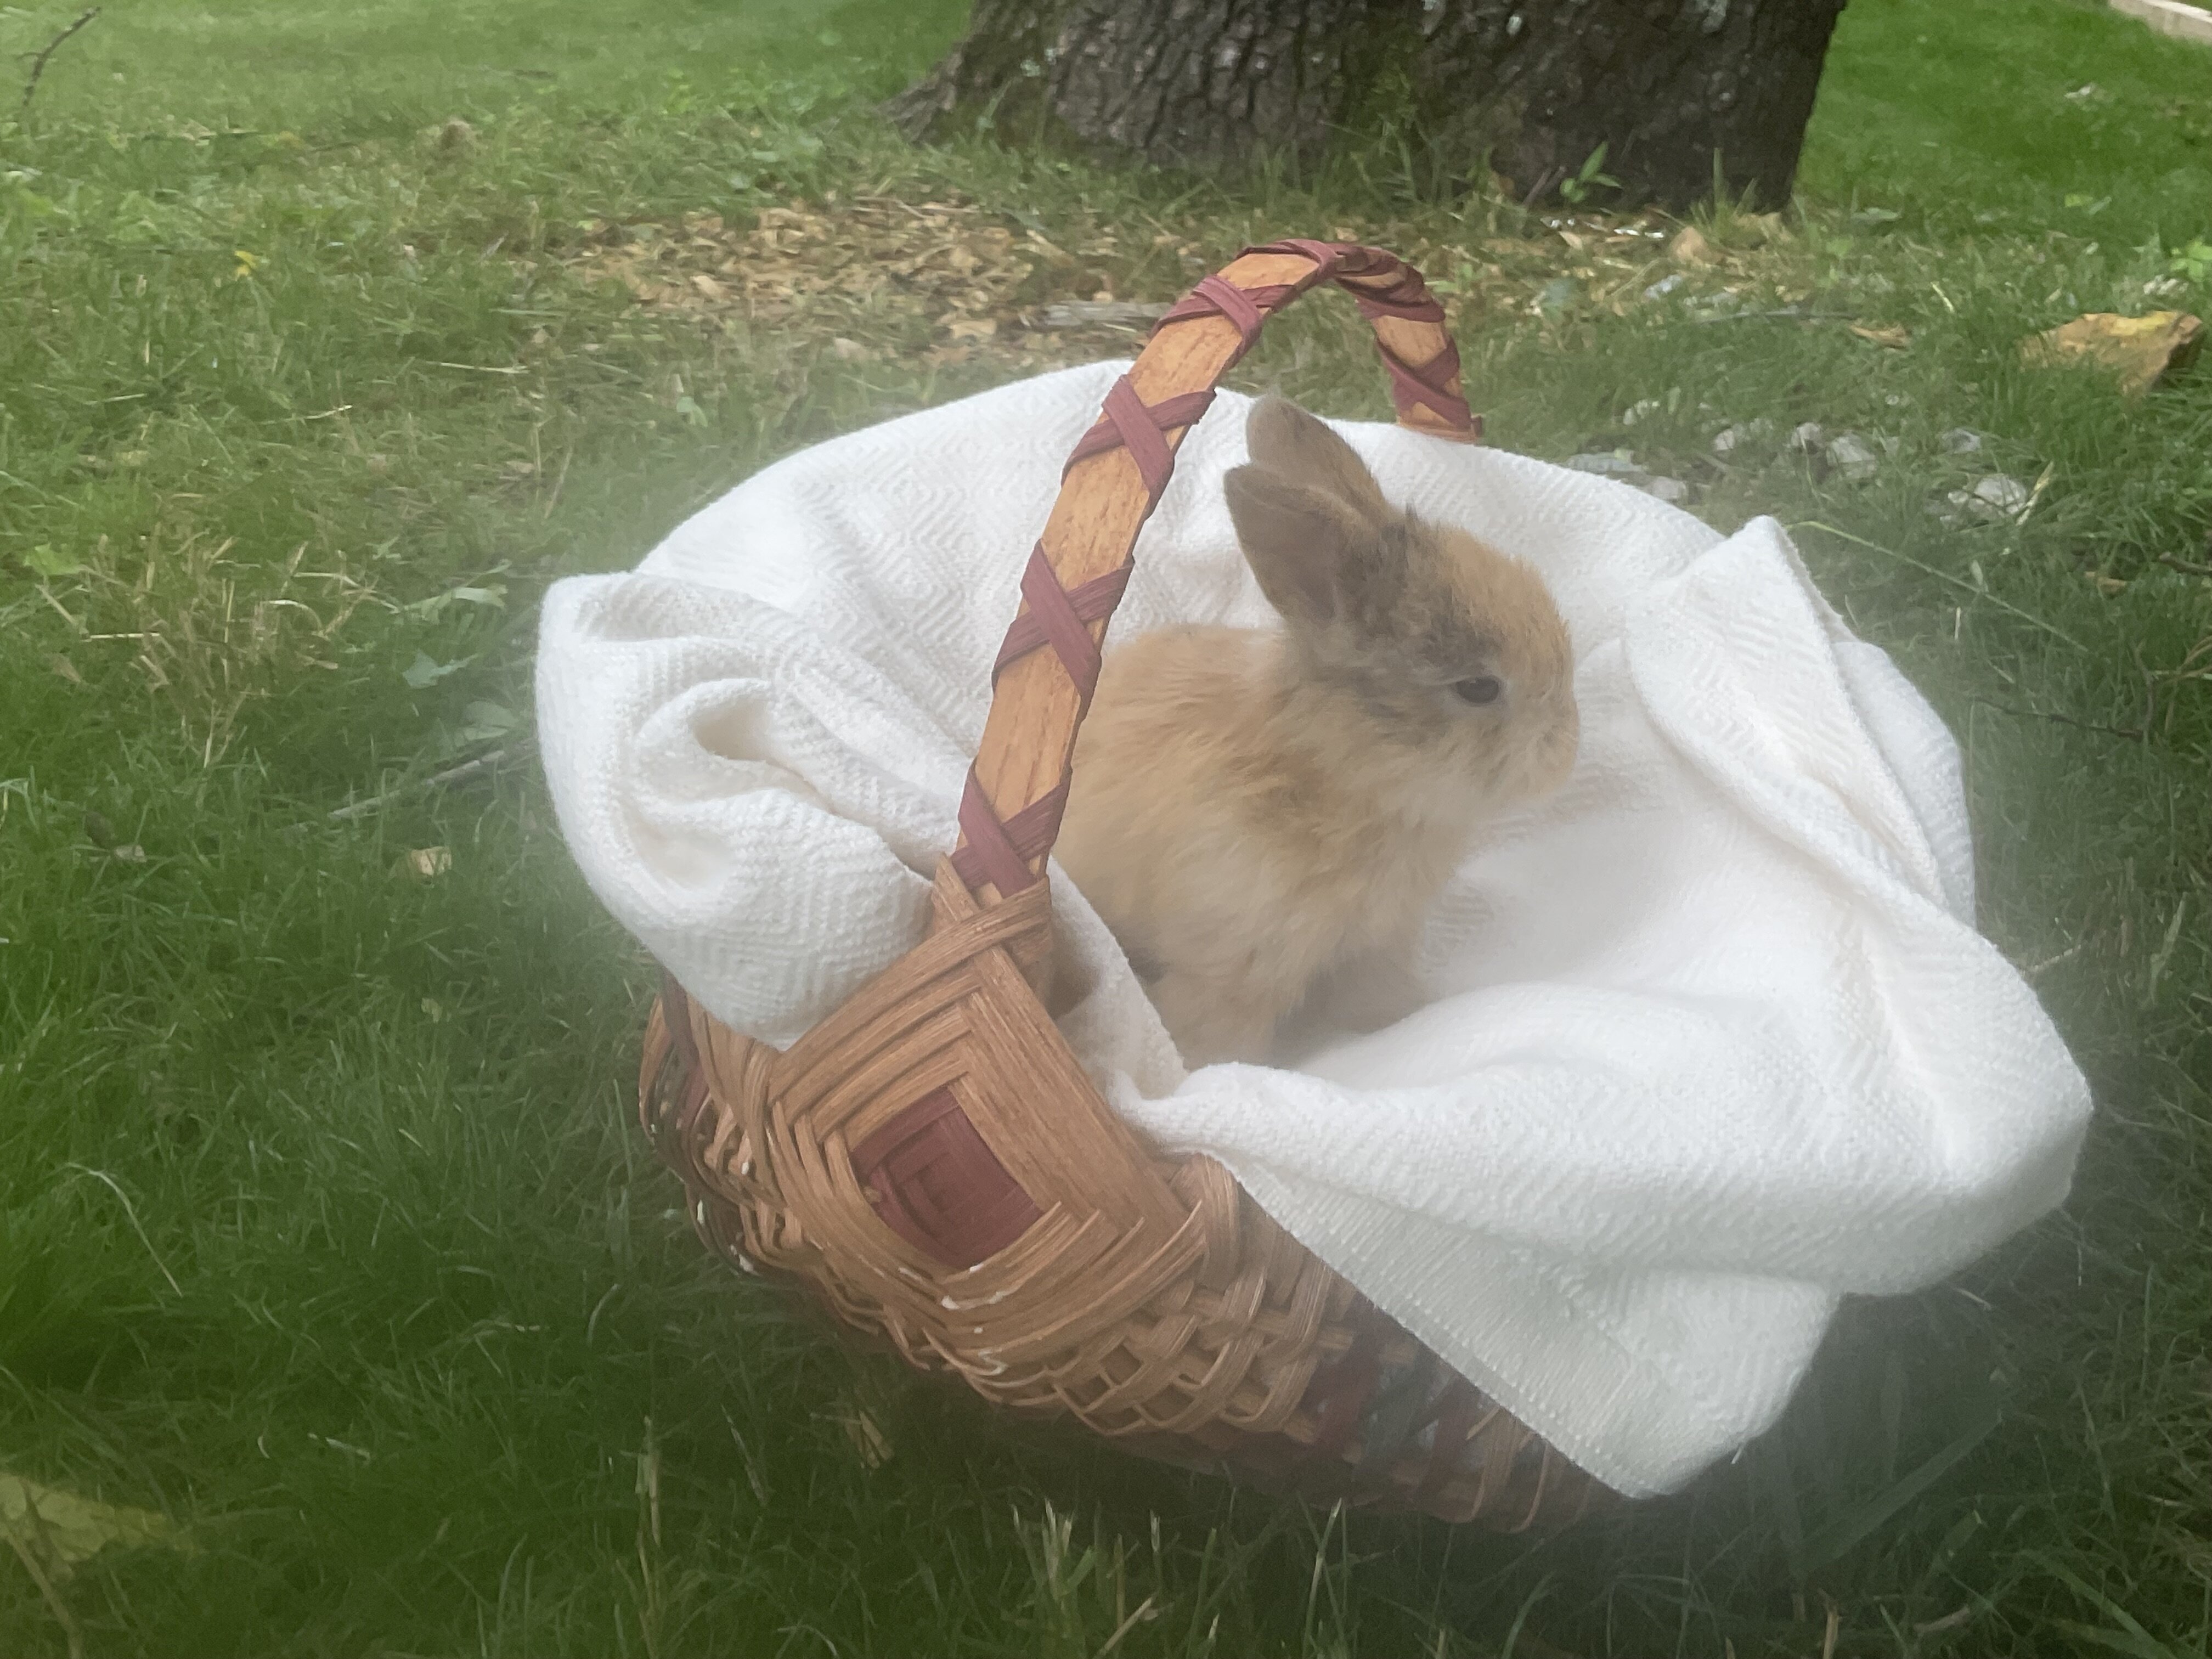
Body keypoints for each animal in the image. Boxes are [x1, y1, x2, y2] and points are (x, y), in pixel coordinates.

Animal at [1054, 395, 1579, 1067]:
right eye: (1479, 688)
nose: (1568, 750)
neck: (1338, 772)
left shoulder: (1376, 945)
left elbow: (1378, 997)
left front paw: (1403, 1021)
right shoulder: (1232, 969)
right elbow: (1219, 1036)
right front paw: (1209, 1074)